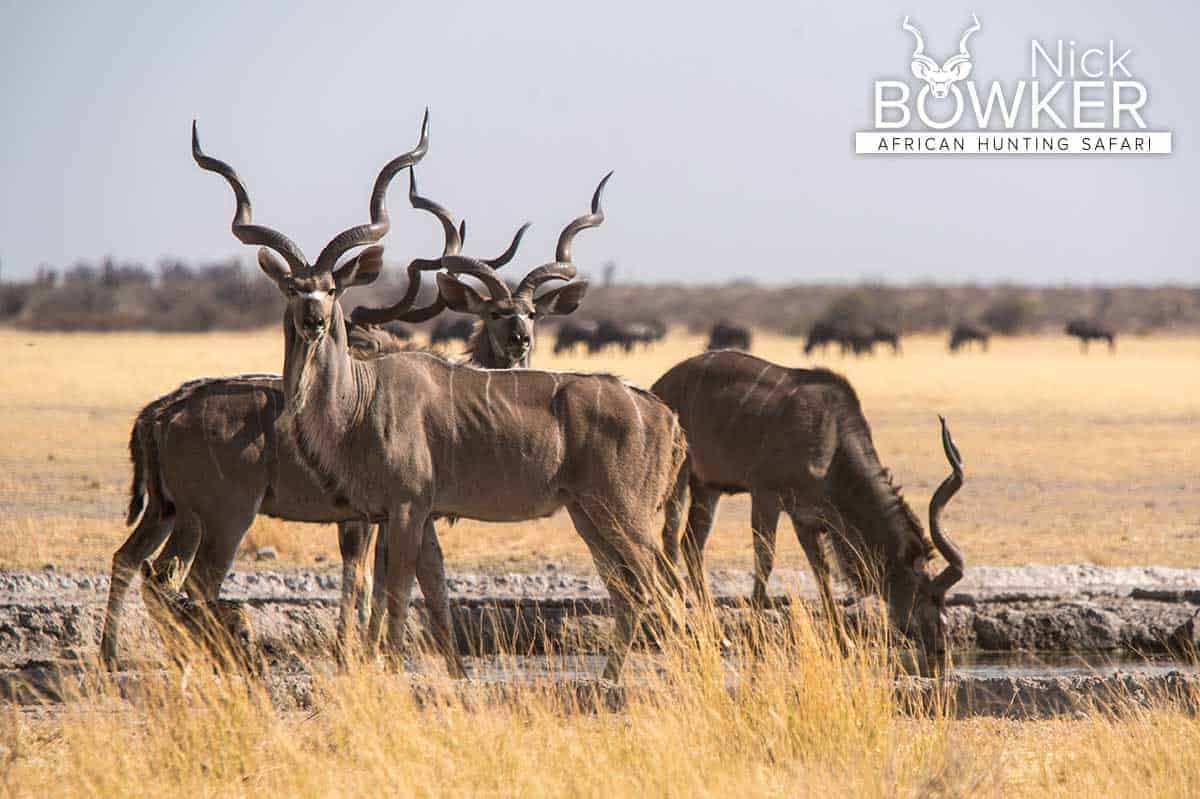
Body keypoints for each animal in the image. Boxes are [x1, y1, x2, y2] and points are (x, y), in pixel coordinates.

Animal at [192, 115, 691, 676]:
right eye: (292, 289)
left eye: (332, 288)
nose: (314, 321)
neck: (360, 401)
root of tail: (664, 415)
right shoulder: (411, 515)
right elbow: (432, 594)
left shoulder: (407, 507)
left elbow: (397, 596)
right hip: (590, 515)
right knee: (630, 593)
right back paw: (609, 682)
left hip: (625, 515)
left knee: (665, 590)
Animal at [657, 352, 964, 652]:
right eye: (927, 593)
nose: (940, 643)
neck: (833, 440)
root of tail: (660, 385)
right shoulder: (766, 495)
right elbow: (765, 560)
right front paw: (755, 637)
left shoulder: (806, 519)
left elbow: (821, 571)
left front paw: (844, 642)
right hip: (678, 478)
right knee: (670, 541)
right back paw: (676, 627)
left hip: (708, 488)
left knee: (691, 545)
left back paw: (718, 636)